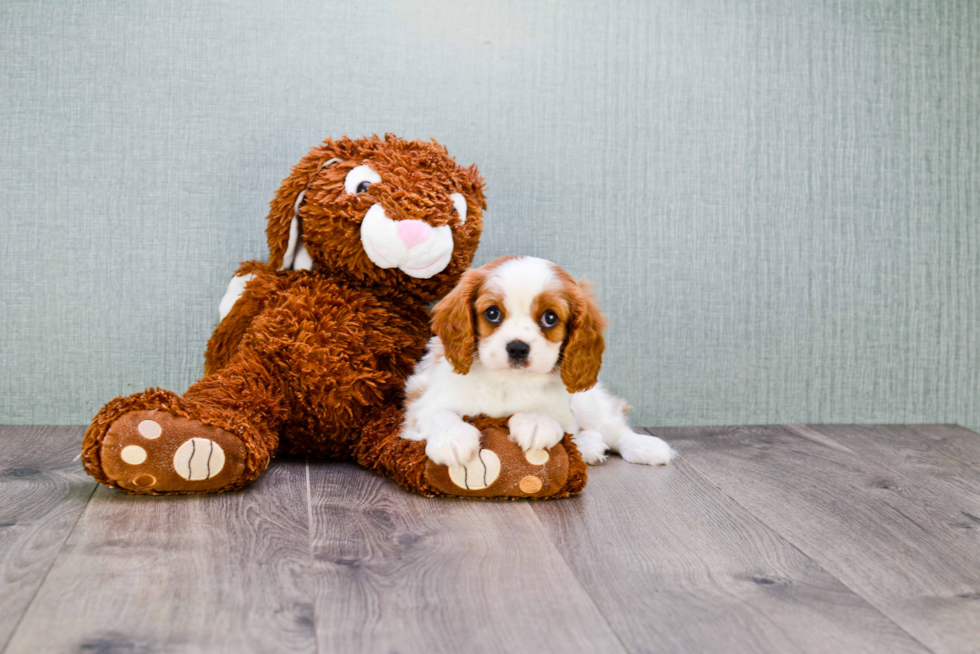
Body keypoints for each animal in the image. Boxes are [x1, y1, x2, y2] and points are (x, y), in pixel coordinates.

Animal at [398, 258, 672, 472]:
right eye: (492, 313)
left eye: (550, 318)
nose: (518, 347)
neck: (507, 381)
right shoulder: (421, 402)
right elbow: (439, 413)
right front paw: (452, 439)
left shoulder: (563, 407)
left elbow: (551, 413)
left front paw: (535, 422)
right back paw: (590, 447)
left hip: (588, 402)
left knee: (612, 428)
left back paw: (643, 446)